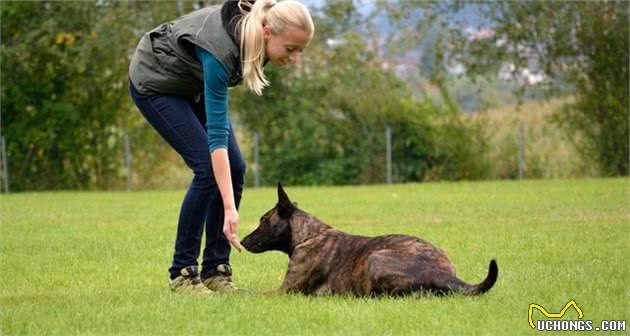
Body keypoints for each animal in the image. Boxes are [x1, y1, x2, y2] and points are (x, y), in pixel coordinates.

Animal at [241, 184, 498, 296]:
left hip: (375, 259)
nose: (242, 241)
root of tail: (437, 271)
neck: (308, 235)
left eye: (263, 220)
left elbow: (249, 293)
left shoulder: (284, 291)